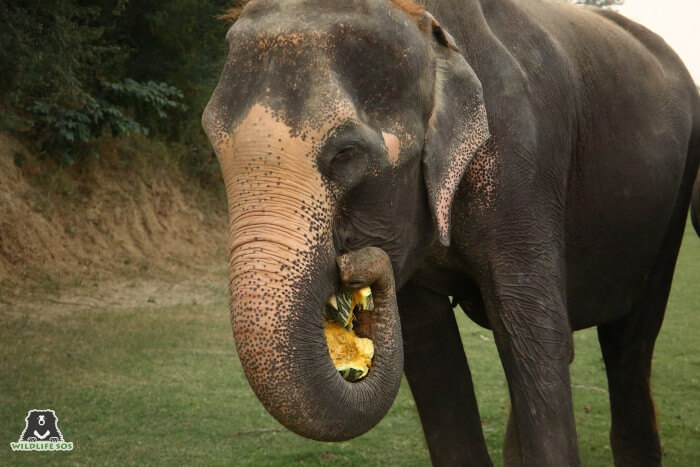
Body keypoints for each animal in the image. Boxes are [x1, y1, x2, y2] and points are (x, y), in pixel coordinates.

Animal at [202, 0, 700, 466]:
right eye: (212, 142)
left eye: (347, 153)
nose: (354, 262)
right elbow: (429, 348)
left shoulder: (521, 165)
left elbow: (533, 332)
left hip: (670, 208)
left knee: (629, 347)